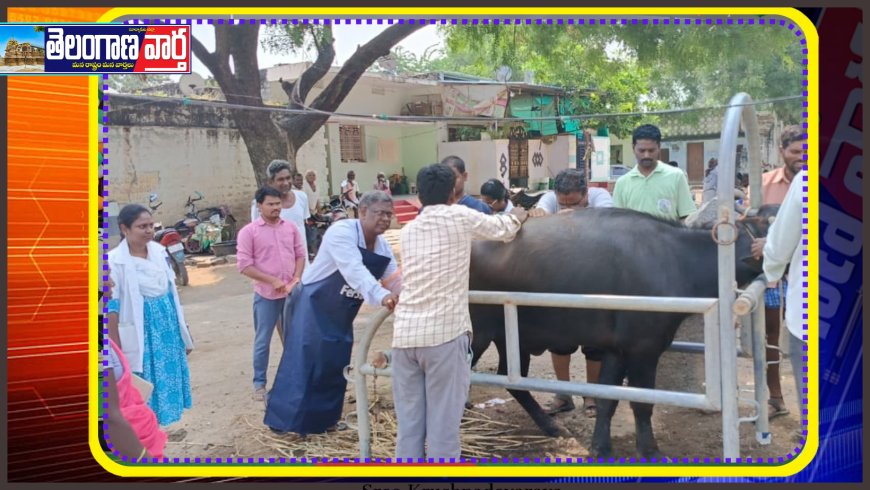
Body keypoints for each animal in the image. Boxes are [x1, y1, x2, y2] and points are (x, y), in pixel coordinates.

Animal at [474, 207, 772, 460]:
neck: (677, 260)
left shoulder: (617, 350)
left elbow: (608, 398)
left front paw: (600, 447)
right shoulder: (643, 349)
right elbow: (643, 402)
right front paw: (650, 451)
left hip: (511, 340)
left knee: (511, 380)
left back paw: (551, 426)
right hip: (478, 337)